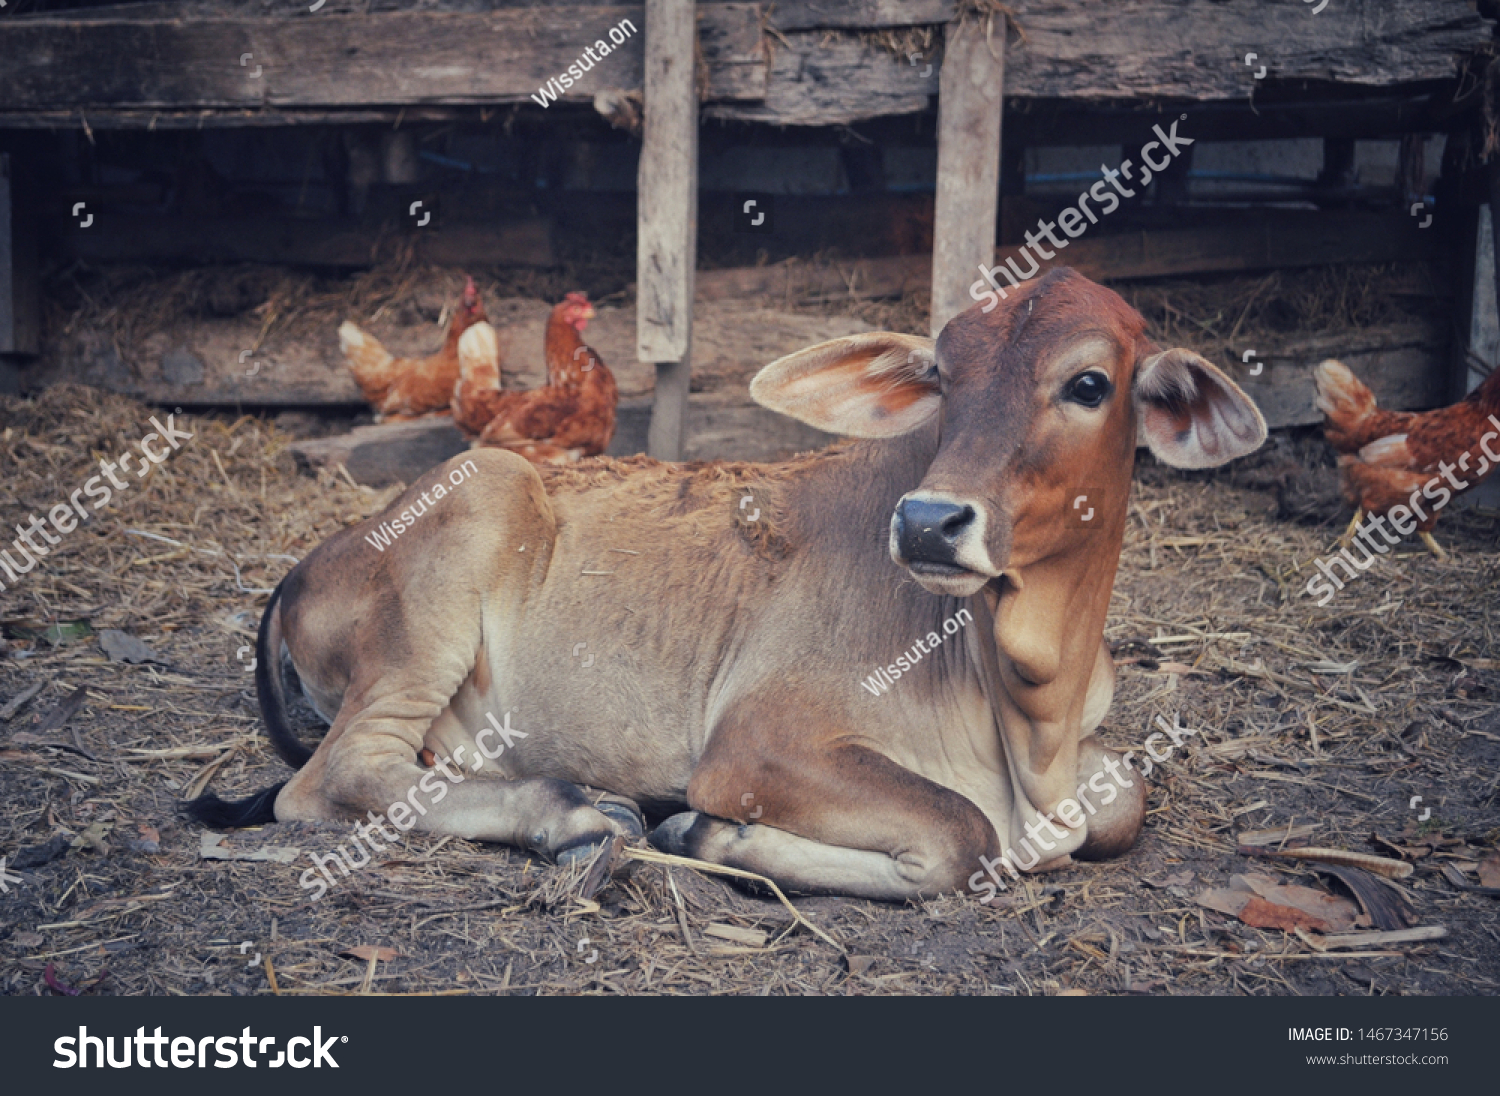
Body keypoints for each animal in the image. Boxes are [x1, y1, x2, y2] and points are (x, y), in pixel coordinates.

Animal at [187, 268, 1266, 899]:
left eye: (1090, 383)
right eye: (943, 378)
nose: (927, 520)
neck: (1025, 710)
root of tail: (312, 558)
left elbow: (1122, 802)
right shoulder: (756, 741)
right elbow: (962, 836)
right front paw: (709, 831)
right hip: (462, 537)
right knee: (334, 777)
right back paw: (576, 813)